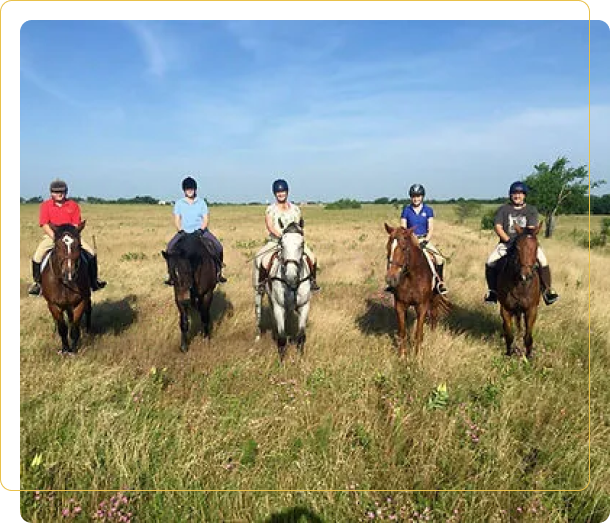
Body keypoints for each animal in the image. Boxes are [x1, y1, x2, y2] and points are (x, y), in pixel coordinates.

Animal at [41, 222, 92, 356]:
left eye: (79, 245)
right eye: (57, 246)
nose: (70, 274)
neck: (65, 283)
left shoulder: (80, 302)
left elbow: (74, 327)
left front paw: (73, 350)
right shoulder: (53, 305)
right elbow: (62, 328)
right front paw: (64, 349)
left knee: (88, 311)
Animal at [253, 220, 312, 360]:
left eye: (302, 244)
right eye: (282, 244)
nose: (291, 275)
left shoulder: (304, 306)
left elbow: (301, 336)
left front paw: (300, 358)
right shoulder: (279, 307)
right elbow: (281, 338)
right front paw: (281, 361)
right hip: (258, 292)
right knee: (258, 312)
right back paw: (258, 336)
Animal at [382, 223, 448, 358]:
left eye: (404, 248)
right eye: (388, 247)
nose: (391, 279)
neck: (411, 277)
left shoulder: (422, 306)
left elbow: (418, 333)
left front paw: (417, 356)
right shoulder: (400, 305)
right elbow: (402, 332)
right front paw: (402, 355)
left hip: (435, 298)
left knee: (434, 316)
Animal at [496, 223, 540, 358]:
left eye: (537, 247)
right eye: (517, 247)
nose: (525, 276)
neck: (521, 285)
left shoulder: (531, 310)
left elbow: (528, 337)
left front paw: (529, 356)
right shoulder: (505, 309)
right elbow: (509, 335)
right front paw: (509, 353)